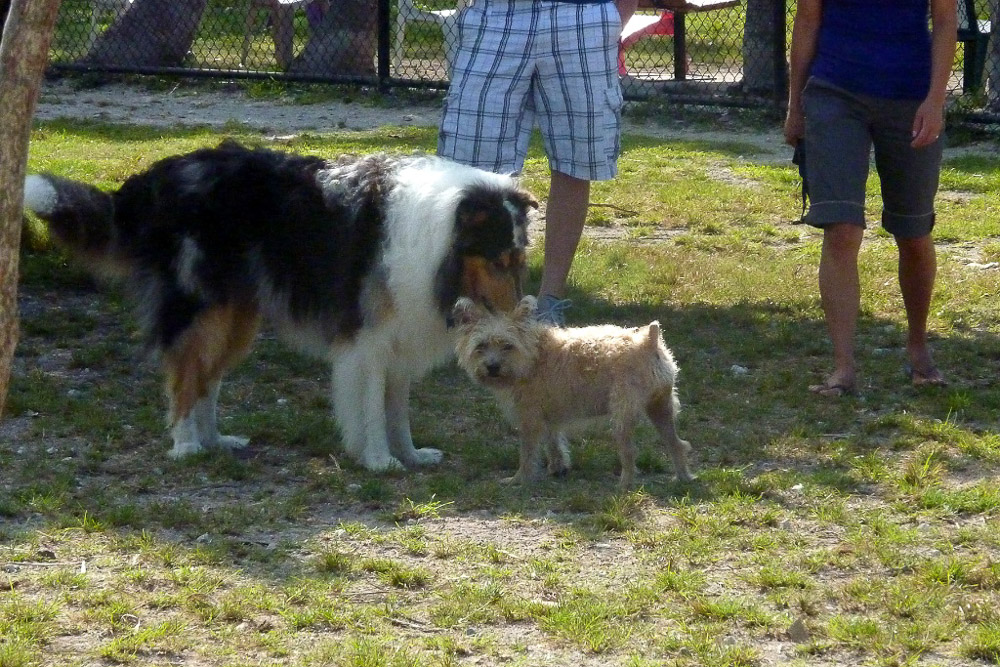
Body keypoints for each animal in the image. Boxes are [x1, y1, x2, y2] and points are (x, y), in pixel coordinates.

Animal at [23, 142, 536, 470]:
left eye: (517, 260)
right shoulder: (368, 340)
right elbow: (371, 409)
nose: (518, 318)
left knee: (207, 380)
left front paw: (411, 455)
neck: (438, 238)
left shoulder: (399, 337)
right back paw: (187, 446)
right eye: (496, 259)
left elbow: (397, 410)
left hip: (236, 320)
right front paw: (378, 461)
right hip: (202, 312)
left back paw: (216, 441)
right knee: (185, 377)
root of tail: (155, 178)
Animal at [456, 294, 696, 488]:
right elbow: (554, 444)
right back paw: (683, 478)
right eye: (481, 346)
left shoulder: (530, 421)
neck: (532, 356)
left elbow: (527, 454)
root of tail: (648, 341)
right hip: (660, 408)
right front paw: (557, 468)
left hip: (623, 414)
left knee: (629, 452)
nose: (492, 367)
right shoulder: (550, 419)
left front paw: (519, 480)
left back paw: (624, 485)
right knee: (676, 444)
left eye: (508, 346)